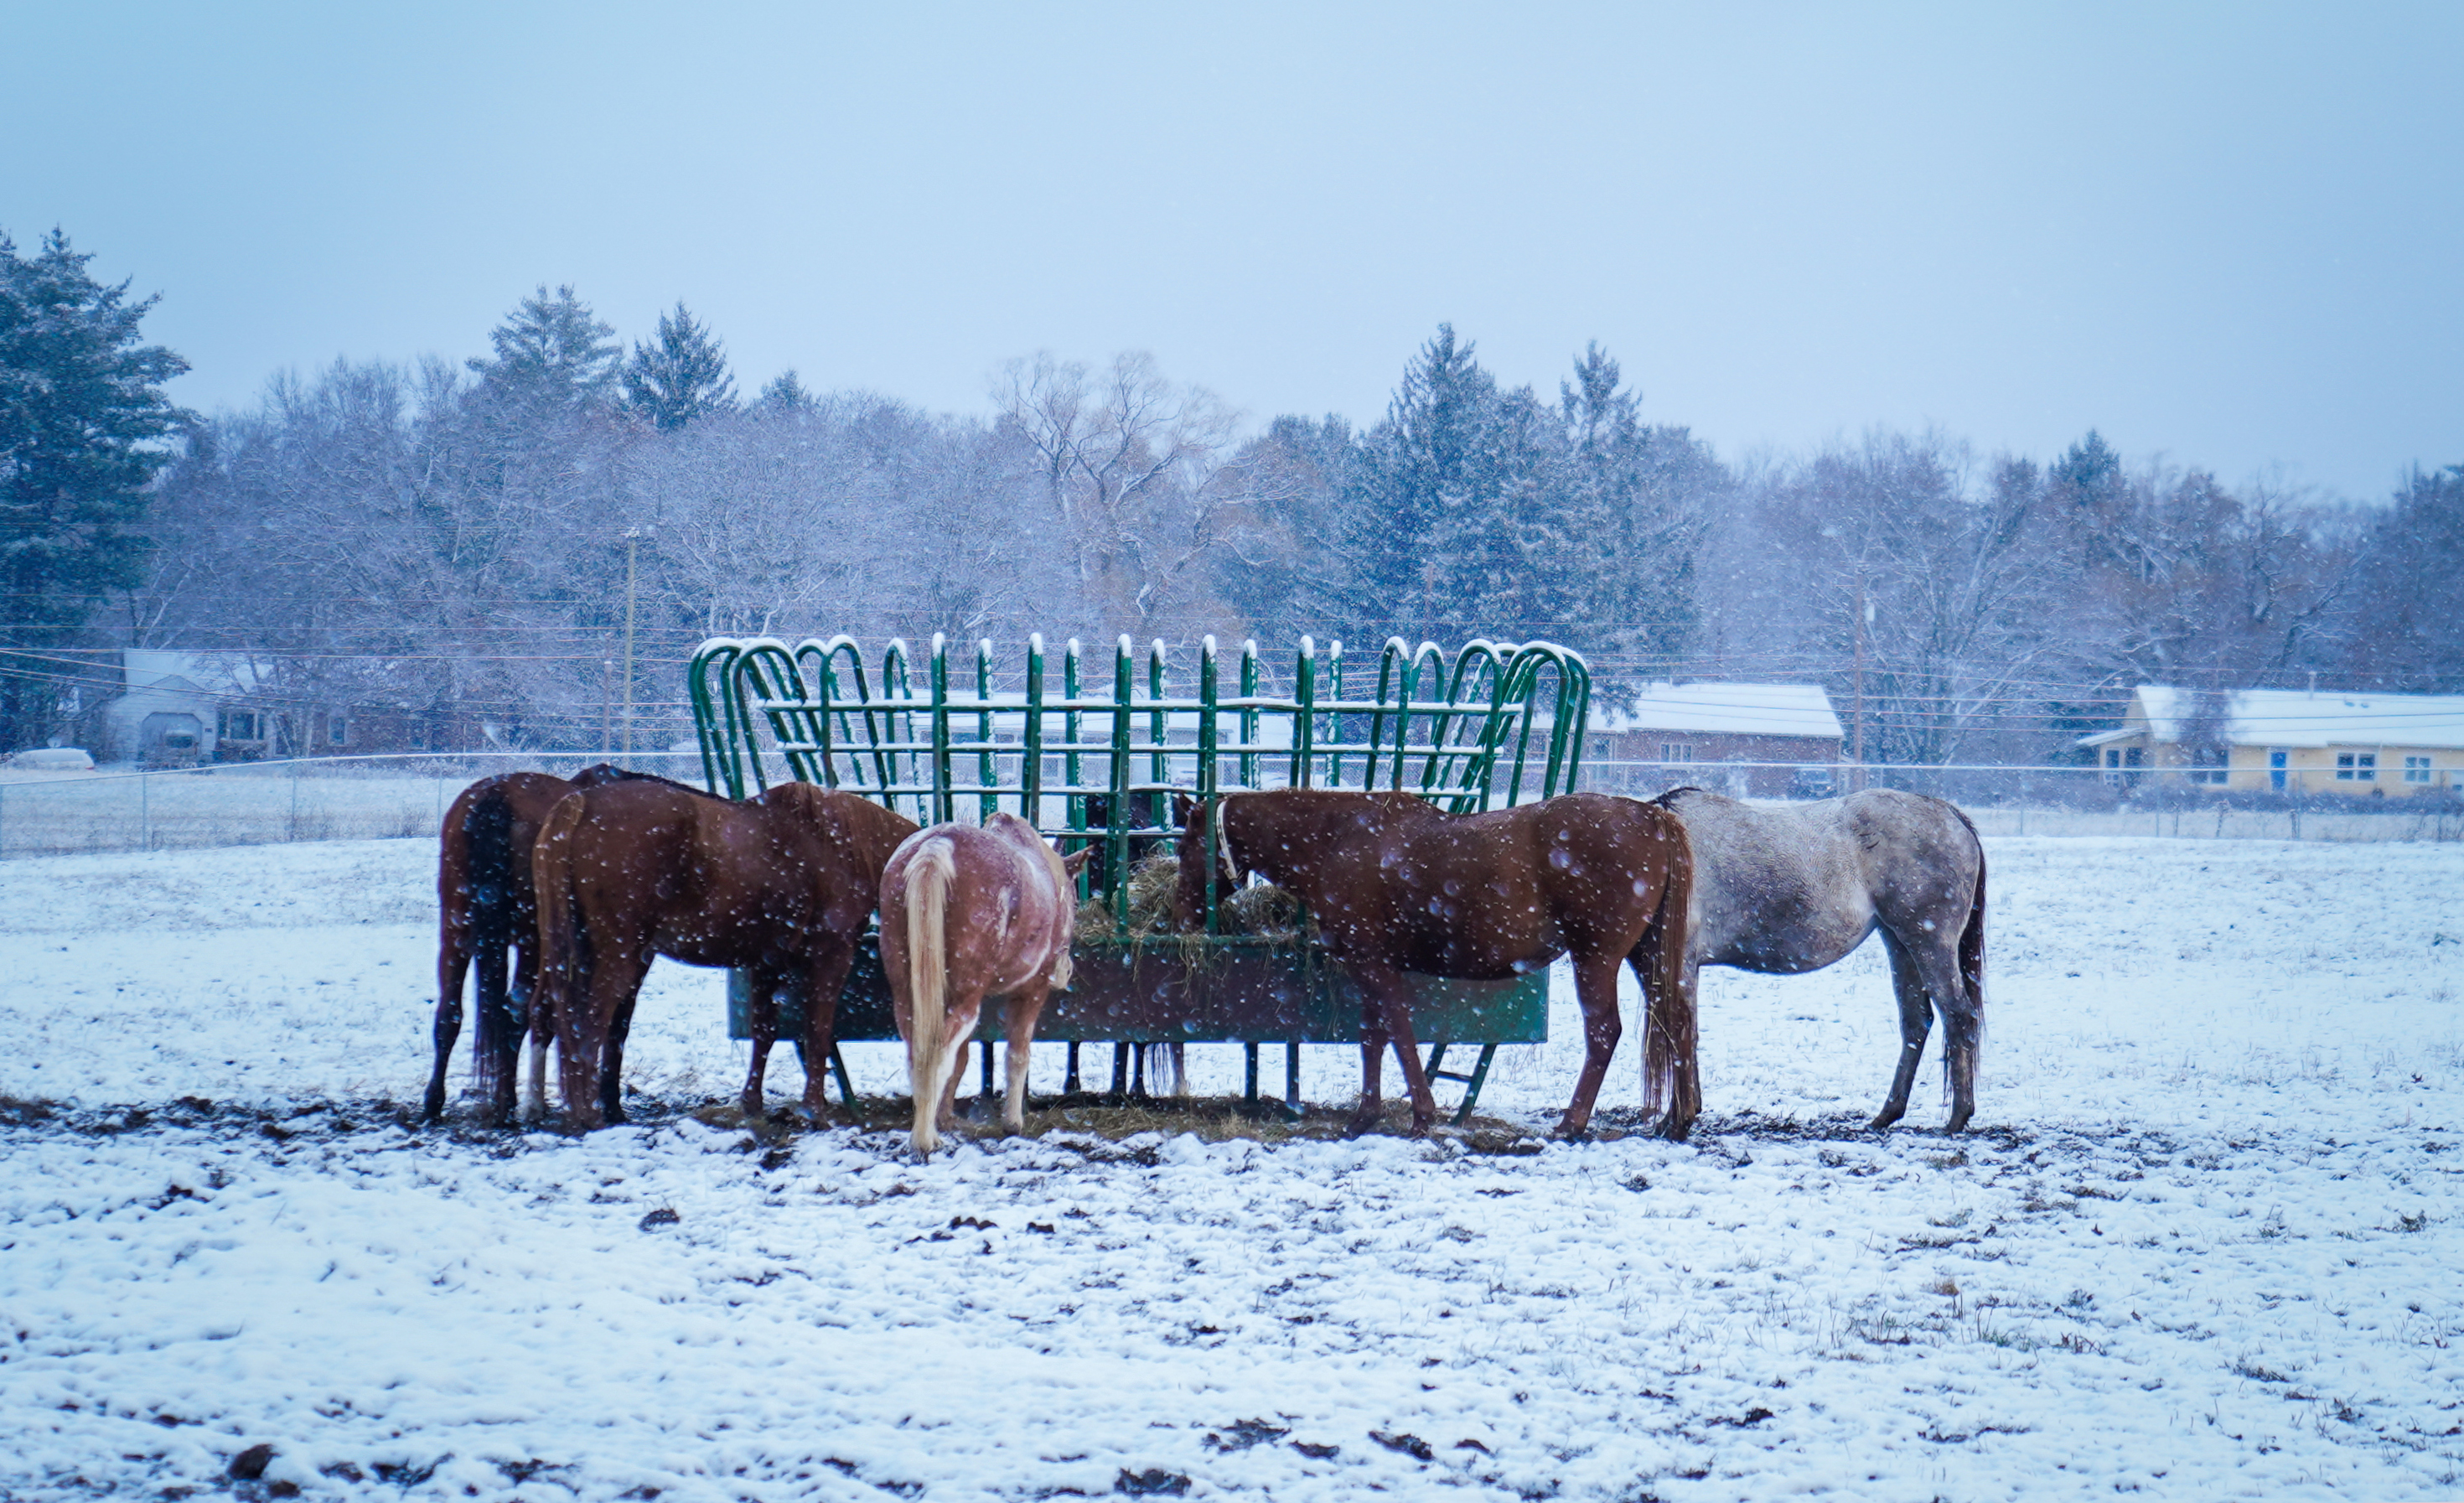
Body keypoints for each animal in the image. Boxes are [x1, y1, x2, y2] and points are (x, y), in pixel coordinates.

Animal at [534, 773, 921, 1123]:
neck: (841, 847)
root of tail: (583, 803)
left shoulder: (769, 964)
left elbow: (764, 1032)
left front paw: (753, 1103)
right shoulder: (831, 958)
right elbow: (818, 1031)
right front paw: (813, 1109)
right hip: (616, 958)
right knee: (589, 1025)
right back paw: (588, 1114)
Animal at [882, 812, 1084, 1153]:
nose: (1066, 971)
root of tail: (938, 844)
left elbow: (962, 1058)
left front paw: (946, 1116)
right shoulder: (1031, 990)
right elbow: (1017, 1054)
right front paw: (1013, 1122)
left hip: (909, 992)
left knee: (919, 1052)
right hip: (967, 995)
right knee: (939, 1052)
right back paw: (925, 1139)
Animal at [1172, 788, 1695, 1128]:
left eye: (1184, 845)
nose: (1183, 913)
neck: (1337, 839)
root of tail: (1648, 815)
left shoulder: (1373, 964)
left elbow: (1397, 1033)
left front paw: (1417, 1115)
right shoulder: (1370, 966)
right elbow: (1374, 1037)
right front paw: (1366, 1116)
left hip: (1596, 958)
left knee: (1604, 1033)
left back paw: (1572, 1122)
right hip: (1646, 957)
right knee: (1678, 1020)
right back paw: (1679, 1117)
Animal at [1655, 783, 1980, 1123]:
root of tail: (1949, 814)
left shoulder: (1681, 962)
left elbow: (1679, 1033)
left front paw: (1675, 1117)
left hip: (1930, 944)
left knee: (1959, 1016)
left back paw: (1958, 1117)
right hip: (1900, 944)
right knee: (1916, 1022)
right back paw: (1888, 1113)